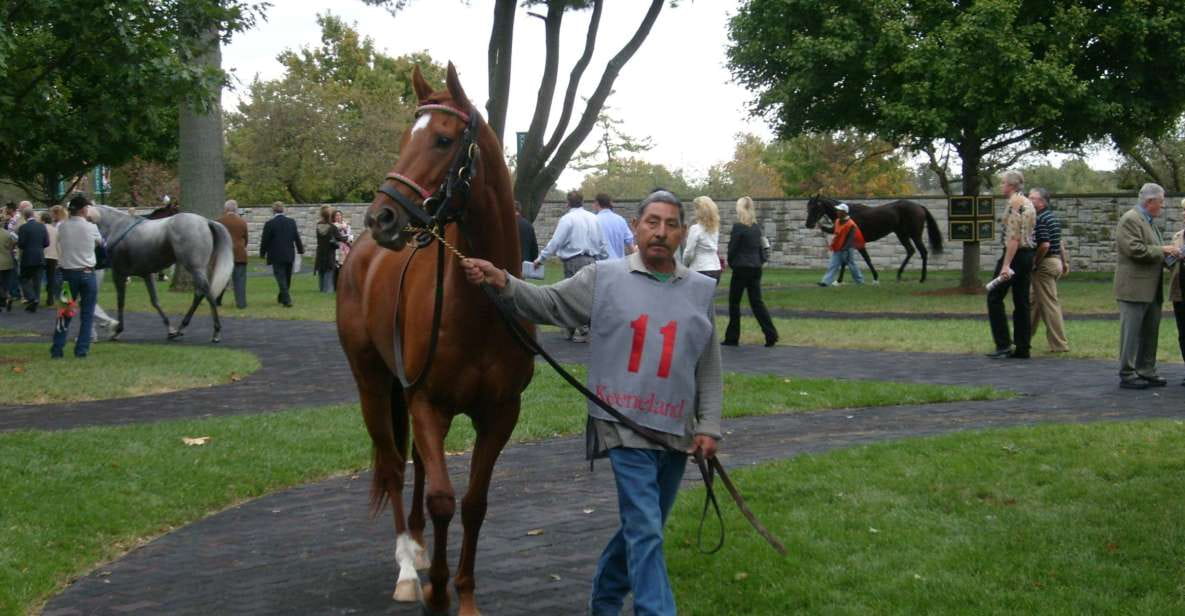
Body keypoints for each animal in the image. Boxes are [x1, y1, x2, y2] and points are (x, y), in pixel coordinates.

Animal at [91, 205, 233, 342]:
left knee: (206, 293)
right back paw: (181, 328)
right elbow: (155, 301)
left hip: (195, 268)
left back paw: (216, 331)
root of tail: (206, 221)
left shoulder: (119, 273)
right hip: (201, 269)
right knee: (200, 293)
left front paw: (117, 330)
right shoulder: (146, 274)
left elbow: (120, 302)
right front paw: (170, 330)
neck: (116, 226)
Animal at [336, 63, 534, 616]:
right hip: (373, 386)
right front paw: (438, 593)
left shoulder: (500, 414)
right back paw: (408, 567)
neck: (480, 310)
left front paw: (462, 593)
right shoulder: (427, 402)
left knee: (420, 468)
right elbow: (442, 498)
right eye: (406, 138)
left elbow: (472, 502)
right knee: (393, 467)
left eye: (443, 139)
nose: (380, 217)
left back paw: (421, 550)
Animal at [805, 195, 944, 283]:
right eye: (808, 207)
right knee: (910, 251)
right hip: (901, 234)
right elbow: (846, 261)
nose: (808, 224)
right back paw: (899, 275)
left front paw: (875, 277)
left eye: (816, 207)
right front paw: (839, 280)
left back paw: (922, 278)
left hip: (915, 235)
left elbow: (866, 259)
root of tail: (919, 206)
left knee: (923, 252)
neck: (848, 216)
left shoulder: (857, 243)